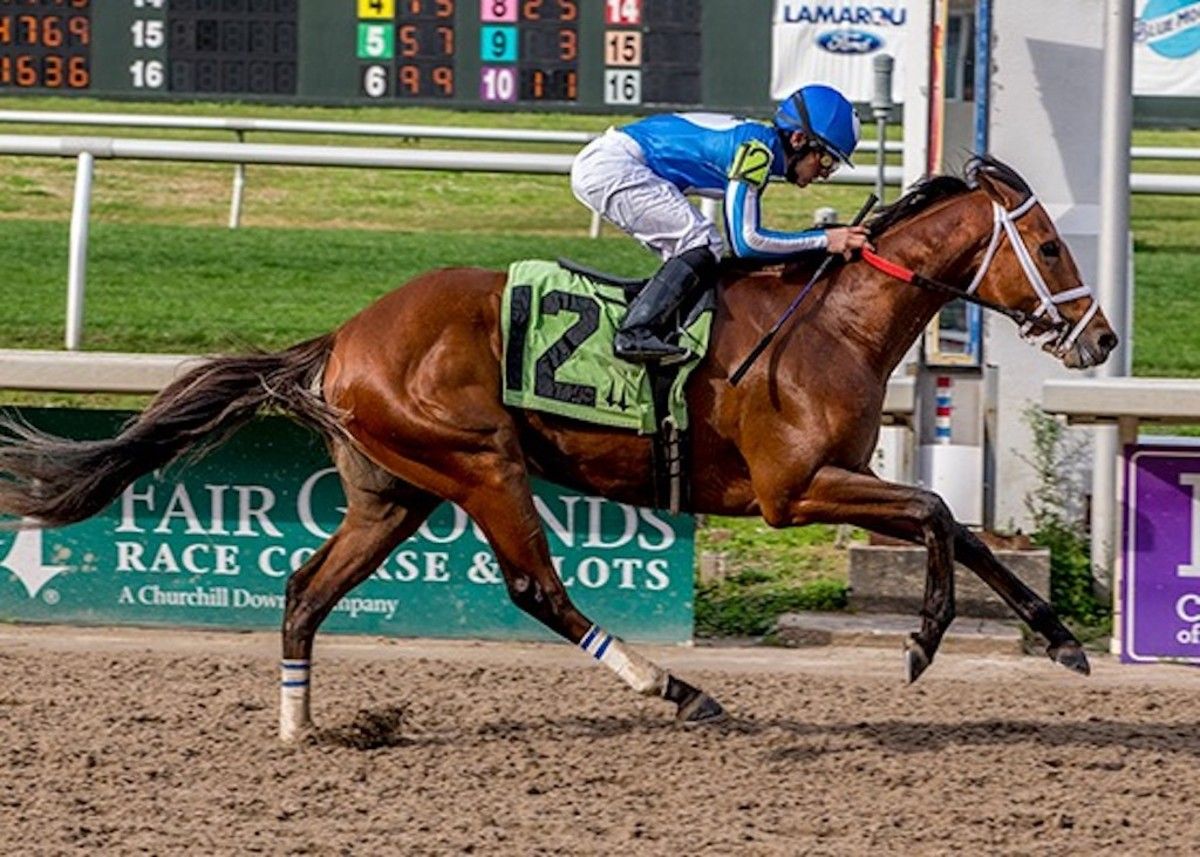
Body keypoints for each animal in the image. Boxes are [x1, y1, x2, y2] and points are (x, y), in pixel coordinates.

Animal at [0, 157, 1117, 742]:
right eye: (1049, 245)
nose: (1102, 338)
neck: (833, 322)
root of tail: (343, 338)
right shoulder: (793, 488)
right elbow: (936, 514)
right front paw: (924, 640)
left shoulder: (845, 474)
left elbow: (960, 528)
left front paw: (1061, 637)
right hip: (482, 463)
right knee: (535, 585)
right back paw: (675, 686)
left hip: (393, 492)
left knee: (305, 587)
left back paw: (300, 725)